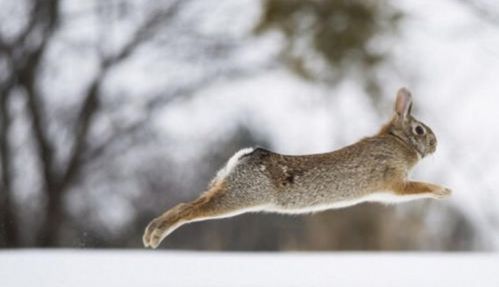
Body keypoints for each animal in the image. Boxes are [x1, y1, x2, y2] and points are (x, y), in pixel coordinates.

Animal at [143, 88, 452, 250]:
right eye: (420, 130)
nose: (436, 144)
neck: (399, 141)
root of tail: (244, 158)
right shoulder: (393, 182)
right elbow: (417, 188)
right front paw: (444, 192)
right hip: (239, 198)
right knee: (189, 210)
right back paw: (156, 237)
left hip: (229, 191)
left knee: (187, 204)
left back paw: (149, 235)